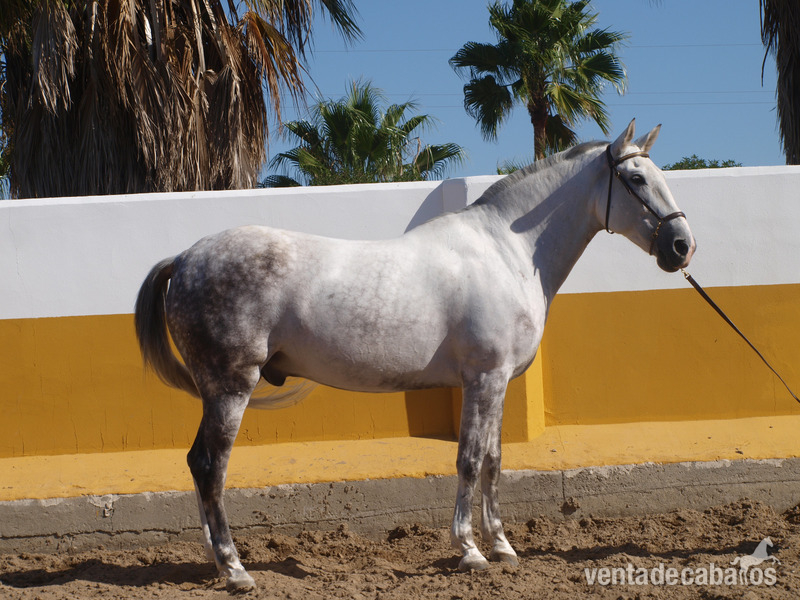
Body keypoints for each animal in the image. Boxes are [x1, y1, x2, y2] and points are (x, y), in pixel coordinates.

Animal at [134, 120, 695, 592]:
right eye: (636, 179)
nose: (681, 246)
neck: (505, 252)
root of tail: (185, 258)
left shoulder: (497, 382)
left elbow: (494, 460)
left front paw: (503, 546)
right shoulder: (483, 378)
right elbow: (469, 459)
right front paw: (470, 550)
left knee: (198, 466)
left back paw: (216, 560)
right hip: (231, 387)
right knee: (210, 465)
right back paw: (235, 569)